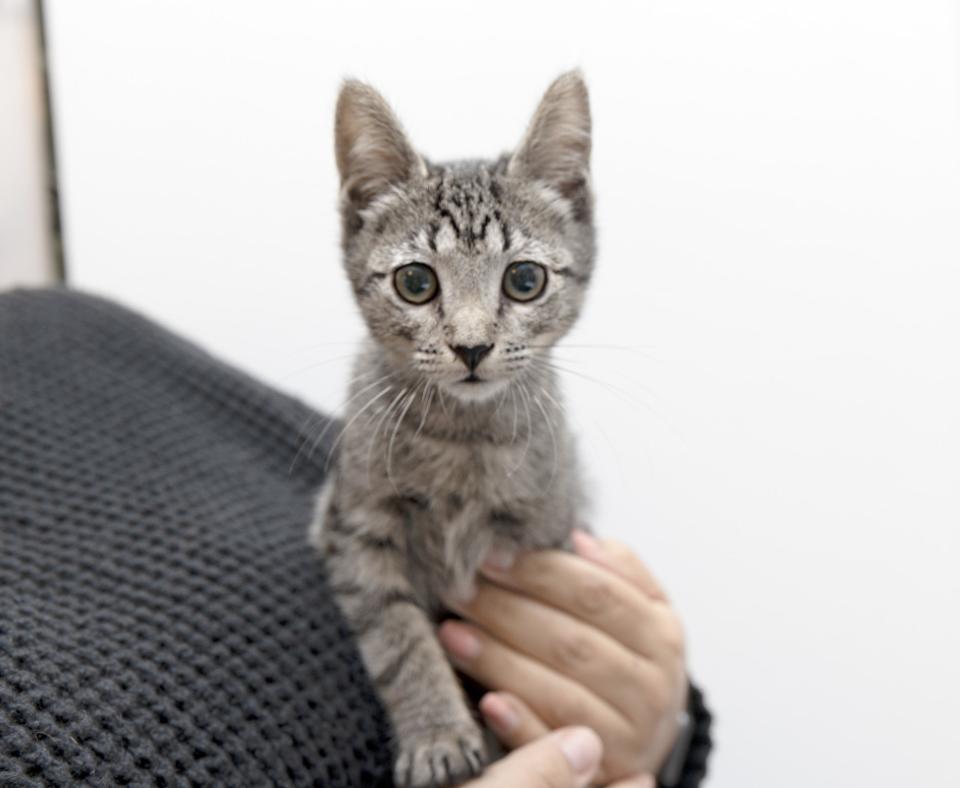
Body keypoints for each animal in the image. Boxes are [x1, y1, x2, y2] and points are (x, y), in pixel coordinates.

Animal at [316, 71, 596, 784]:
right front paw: (439, 734)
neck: (461, 439)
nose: (472, 347)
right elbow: (397, 635)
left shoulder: (547, 532)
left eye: (524, 279)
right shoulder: (351, 525)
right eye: (416, 282)